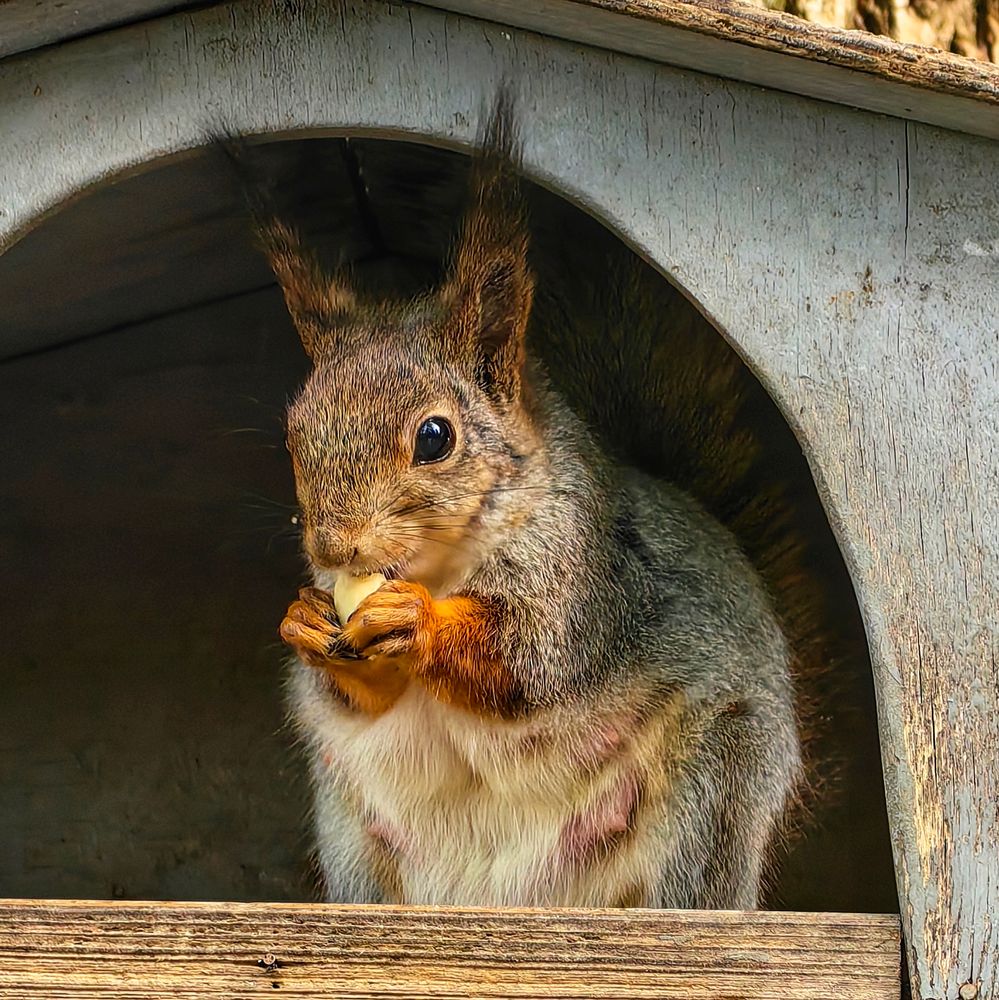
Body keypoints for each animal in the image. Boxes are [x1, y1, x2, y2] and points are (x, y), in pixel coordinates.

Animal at [234, 97, 812, 912]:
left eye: (435, 437)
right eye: (293, 434)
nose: (335, 548)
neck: (439, 563)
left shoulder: (581, 573)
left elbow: (527, 661)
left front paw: (416, 619)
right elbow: (369, 695)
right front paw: (305, 621)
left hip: (715, 785)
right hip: (355, 841)